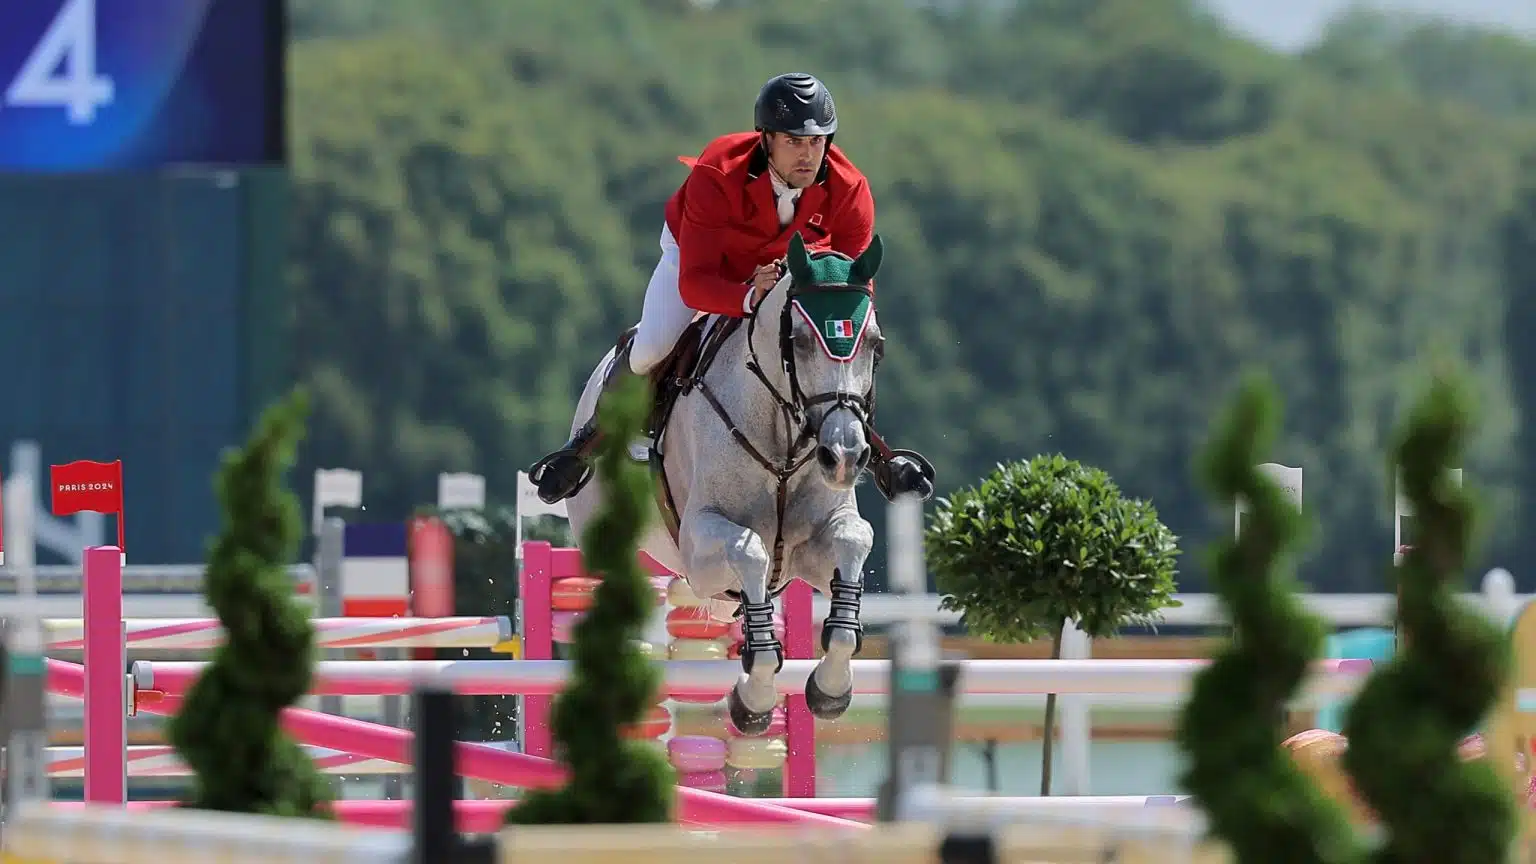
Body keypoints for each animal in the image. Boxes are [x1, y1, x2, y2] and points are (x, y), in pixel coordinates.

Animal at [568, 232, 890, 728]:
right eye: (798, 341)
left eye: (874, 344)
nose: (844, 457)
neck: (782, 436)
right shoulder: (699, 551)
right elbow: (751, 551)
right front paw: (754, 697)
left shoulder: (809, 550)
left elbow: (854, 539)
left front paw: (830, 687)